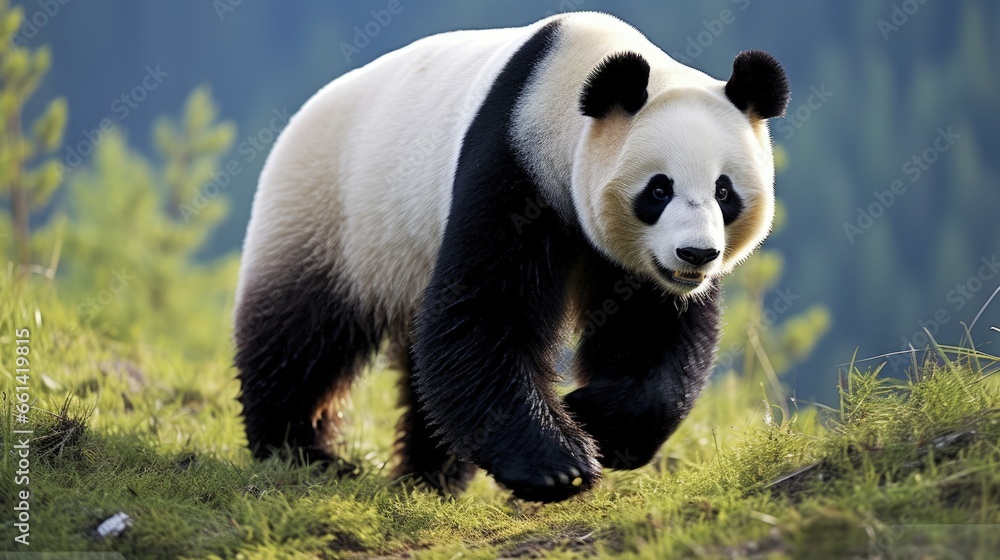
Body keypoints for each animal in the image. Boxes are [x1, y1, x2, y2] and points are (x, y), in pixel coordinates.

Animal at [234, 11, 789, 503]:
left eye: (724, 192)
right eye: (658, 189)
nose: (696, 254)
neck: (564, 83)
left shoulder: (646, 267)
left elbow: (652, 330)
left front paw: (600, 421)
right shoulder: (512, 157)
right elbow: (484, 310)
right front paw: (558, 465)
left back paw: (429, 476)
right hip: (330, 215)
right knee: (300, 336)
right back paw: (300, 451)